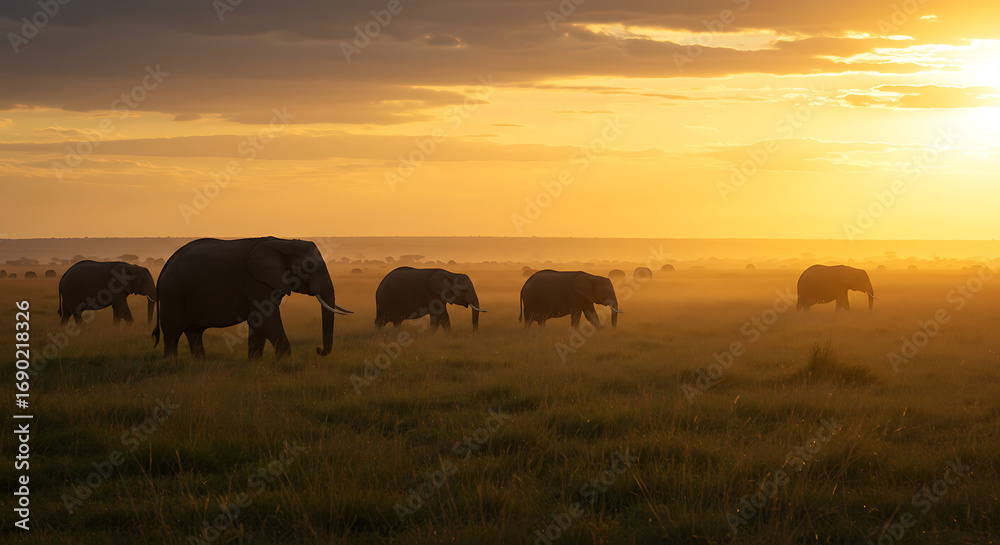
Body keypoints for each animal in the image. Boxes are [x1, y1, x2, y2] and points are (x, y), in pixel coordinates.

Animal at [153, 237, 352, 359]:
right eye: (309, 266)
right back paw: (172, 362)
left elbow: (259, 323)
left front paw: (255, 364)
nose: (318, 350)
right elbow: (267, 320)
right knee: (172, 333)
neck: (284, 242)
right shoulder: (256, 281)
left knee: (194, 332)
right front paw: (284, 361)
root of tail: (165, 267)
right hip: (172, 295)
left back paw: (200, 363)